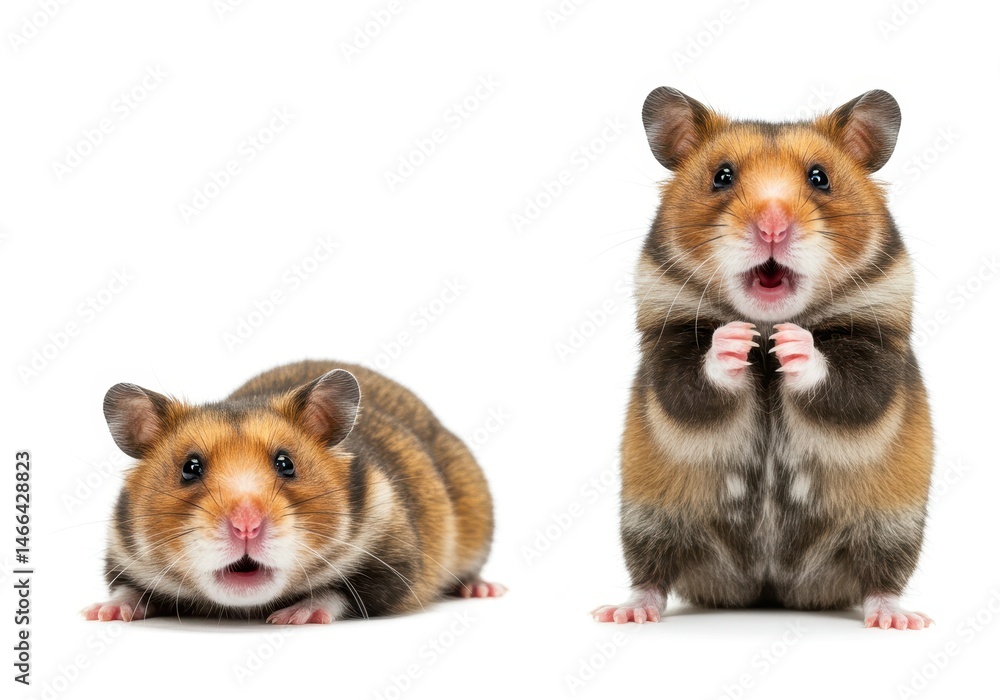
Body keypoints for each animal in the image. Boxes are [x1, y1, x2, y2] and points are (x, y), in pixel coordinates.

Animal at [83, 360, 504, 624]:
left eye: (286, 464)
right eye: (190, 468)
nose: (246, 527)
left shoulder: (396, 561)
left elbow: (344, 592)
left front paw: (291, 616)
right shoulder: (122, 554)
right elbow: (127, 589)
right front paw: (101, 612)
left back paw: (484, 589)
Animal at [592, 88, 934, 629]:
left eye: (820, 177)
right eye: (722, 176)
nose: (773, 226)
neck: (769, 320)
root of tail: (770, 589)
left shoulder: (881, 353)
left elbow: (853, 387)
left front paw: (792, 343)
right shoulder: (663, 349)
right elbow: (687, 382)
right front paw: (735, 339)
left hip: (890, 526)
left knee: (880, 577)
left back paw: (897, 618)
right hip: (650, 518)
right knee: (654, 574)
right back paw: (625, 611)